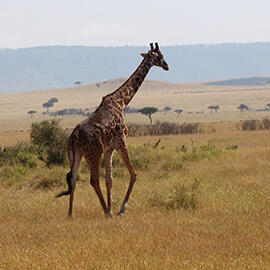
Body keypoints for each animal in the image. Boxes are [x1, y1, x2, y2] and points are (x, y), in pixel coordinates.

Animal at [55, 42, 169, 219]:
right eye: (160, 56)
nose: (167, 66)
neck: (122, 102)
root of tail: (74, 137)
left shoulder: (109, 148)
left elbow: (110, 180)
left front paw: (111, 207)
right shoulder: (121, 140)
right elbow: (133, 173)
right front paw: (120, 209)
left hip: (75, 153)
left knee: (72, 178)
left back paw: (70, 214)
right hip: (93, 153)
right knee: (93, 180)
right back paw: (104, 212)